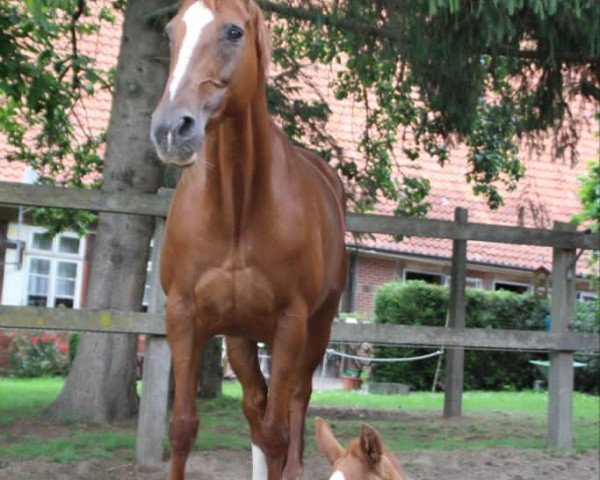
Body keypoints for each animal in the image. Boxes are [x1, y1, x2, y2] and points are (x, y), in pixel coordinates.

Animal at [150, 1, 346, 478]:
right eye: (171, 32)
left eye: (234, 32)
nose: (170, 129)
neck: (235, 208)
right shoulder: (183, 317)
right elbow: (182, 427)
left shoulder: (290, 324)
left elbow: (277, 434)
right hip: (240, 339)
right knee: (256, 406)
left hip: (316, 329)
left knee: (294, 406)